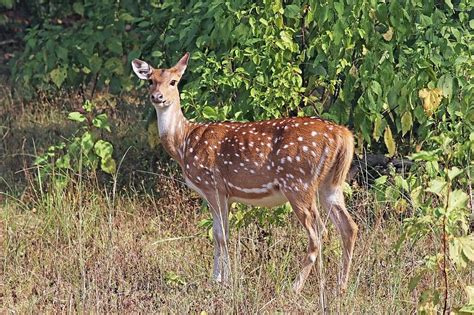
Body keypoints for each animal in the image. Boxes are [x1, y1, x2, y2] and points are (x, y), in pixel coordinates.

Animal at [131, 52, 358, 294]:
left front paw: (225, 281)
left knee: (319, 233)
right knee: (349, 227)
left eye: (173, 82)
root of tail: (343, 135)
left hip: (298, 182)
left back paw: (295, 287)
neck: (183, 143)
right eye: (150, 80)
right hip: (330, 185)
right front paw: (216, 279)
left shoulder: (212, 186)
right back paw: (341, 287)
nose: (157, 97)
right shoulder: (226, 195)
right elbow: (219, 234)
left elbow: (221, 236)